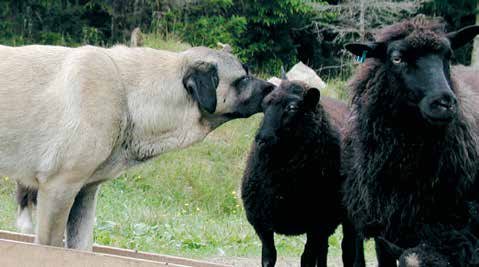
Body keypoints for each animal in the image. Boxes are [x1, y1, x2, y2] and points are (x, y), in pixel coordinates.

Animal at [242, 80, 362, 266]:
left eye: (292, 108)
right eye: (264, 104)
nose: (262, 139)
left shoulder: (318, 224)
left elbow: (307, 259)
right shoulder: (262, 223)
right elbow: (269, 257)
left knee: (347, 249)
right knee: (324, 250)